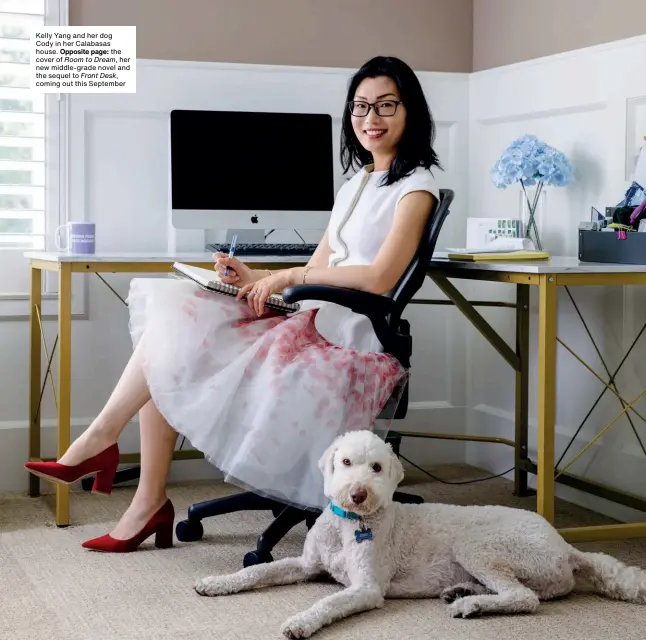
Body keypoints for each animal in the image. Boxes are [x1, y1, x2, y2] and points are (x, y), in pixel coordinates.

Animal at [195, 428, 646, 636]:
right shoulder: (307, 565)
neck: (350, 524)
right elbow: (257, 571)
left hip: (479, 546)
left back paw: (471, 604)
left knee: (525, 598)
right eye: (345, 462)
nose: (358, 493)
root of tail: (567, 547)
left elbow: (327, 603)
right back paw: (462, 592)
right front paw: (216, 582)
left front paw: (301, 622)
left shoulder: (365, 588)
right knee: (524, 592)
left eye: (377, 468)